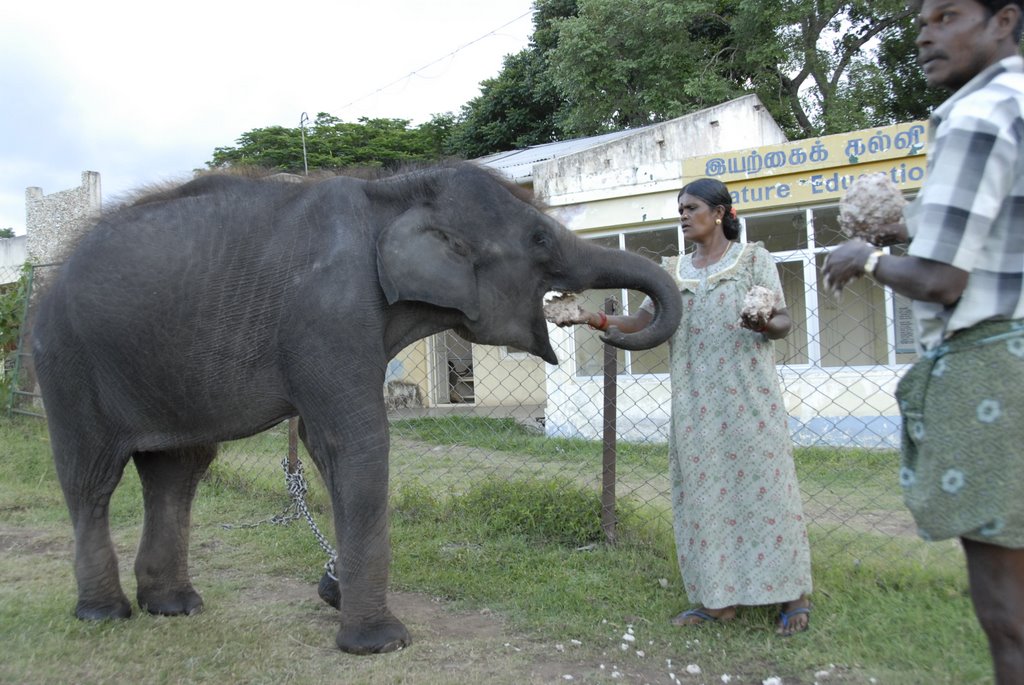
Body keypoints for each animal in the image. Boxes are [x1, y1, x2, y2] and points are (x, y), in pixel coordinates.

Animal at [32, 162, 684, 655]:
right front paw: (381, 643)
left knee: (178, 470)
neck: (395, 193)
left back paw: (174, 607)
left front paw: (338, 595)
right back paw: (105, 614)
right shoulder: (329, 312)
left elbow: (326, 448)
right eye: (540, 241)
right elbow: (355, 441)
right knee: (92, 479)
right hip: (66, 364)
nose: (608, 321)